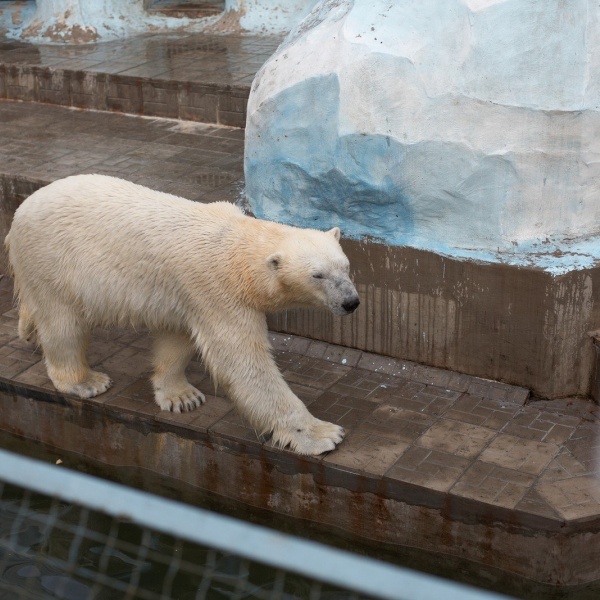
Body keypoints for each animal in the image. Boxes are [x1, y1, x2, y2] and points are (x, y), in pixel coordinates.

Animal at [5, 173, 360, 454]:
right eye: (318, 275)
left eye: (345, 266)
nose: (351, 302)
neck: (237, 246)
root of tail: (20, 211)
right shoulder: (219, 289)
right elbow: (244, 363)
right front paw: (323, 434)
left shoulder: (189, 295)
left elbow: (178, 339)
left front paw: (181, 396)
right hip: (51, 260)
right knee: (63, 324)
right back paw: (85, 381)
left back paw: (29, 330)